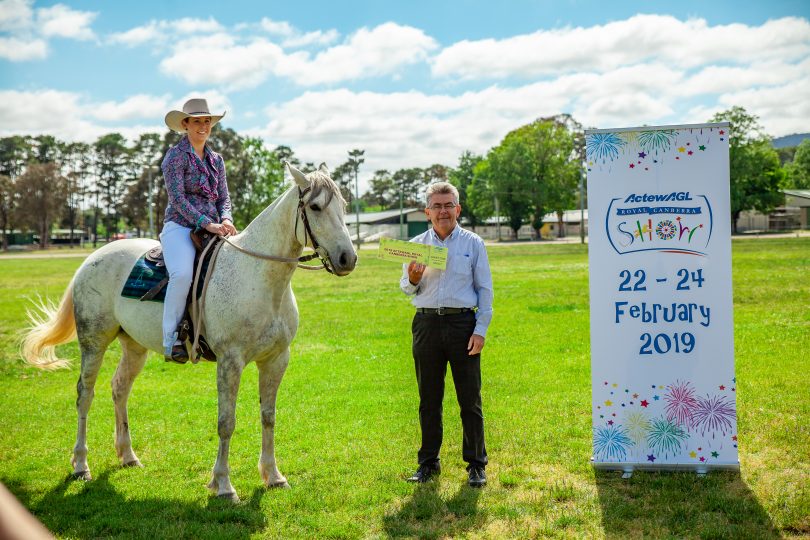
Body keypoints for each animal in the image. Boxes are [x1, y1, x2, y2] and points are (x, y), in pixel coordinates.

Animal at [22, 163, 356, 502]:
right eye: (315, 207)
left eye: (344, 206)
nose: (348, 258)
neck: (257, 276)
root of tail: (91, 259)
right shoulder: (230, 362)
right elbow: (226, 422)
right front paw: (223, 485)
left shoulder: (276, 359)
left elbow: (268, 416)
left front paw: (273, 476)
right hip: (94, 342)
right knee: (84, 395)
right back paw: (80, 465)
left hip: (134, 346)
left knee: (120, 388)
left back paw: (128, 456)